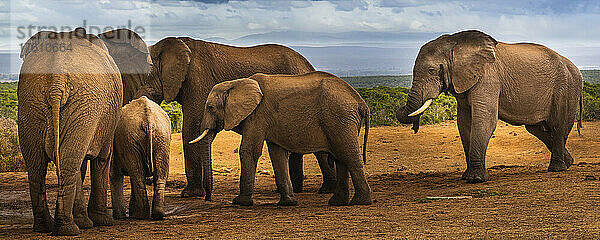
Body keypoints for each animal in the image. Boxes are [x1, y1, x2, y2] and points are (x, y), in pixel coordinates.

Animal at [18, 27, 122, 234]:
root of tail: (56, 81)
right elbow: (102, 159)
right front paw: (103, 221)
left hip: (31, 103)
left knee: (37, 166)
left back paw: (47, 226)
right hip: (85, 105)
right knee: (69, 163)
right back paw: (70, 228)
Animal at [133, 37, 336, 199]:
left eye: (143, 76)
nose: (208, 197)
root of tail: (308, 64)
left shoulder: (196, 79)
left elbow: (192, 127)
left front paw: (190, 194)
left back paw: (325, 190)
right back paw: (294, 190)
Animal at [191, 71, 370, 206]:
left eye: (210, 107)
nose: (208, 198)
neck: (236, 83)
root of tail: (361, 102)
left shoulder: (257, 115)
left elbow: (249, 151)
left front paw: (240, 202)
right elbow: (278, 155)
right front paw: (288, 203)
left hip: (340, 117)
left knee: (348, 156)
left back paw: (360, 202)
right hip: (342, 120)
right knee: (341, 158)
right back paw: (337, 202)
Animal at [396, 31, 584, 183]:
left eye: (431, 70)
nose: (414, 126)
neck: (455, 41)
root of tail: (577, 69)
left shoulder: (488, 77)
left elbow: (484, 119)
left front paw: (475, 179)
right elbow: (464, 123)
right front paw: (466, 176)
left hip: (566, 87)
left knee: (557, 126)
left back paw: (557, 168)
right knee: (537, 130)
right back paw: (568, 163)